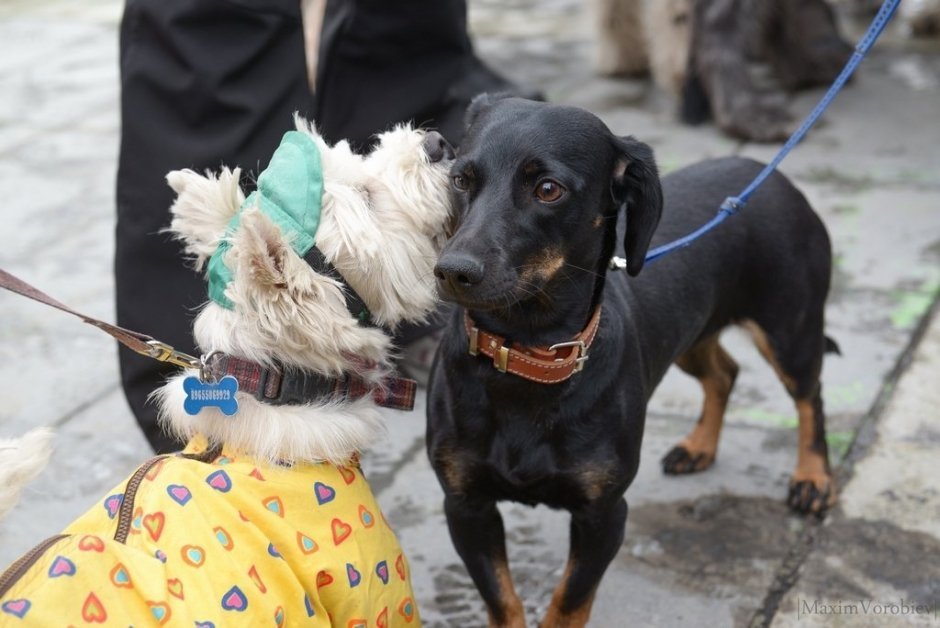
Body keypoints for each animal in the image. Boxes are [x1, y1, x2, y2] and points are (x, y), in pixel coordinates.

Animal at [426, 95, 836, 624]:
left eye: (548, 189)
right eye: (460, 179)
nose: (452, 271)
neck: (527, 356)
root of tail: (773, 178)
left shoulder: (604, 515)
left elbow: (568, 603)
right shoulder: (465, 506)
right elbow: (503, 600)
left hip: (791, 331)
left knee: (811, 398)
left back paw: (813, 477)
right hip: (693, 334)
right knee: (724, 373)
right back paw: (699, 446)